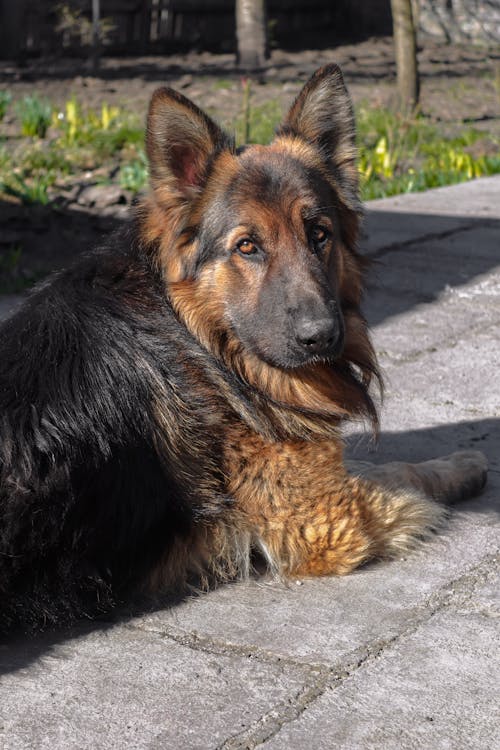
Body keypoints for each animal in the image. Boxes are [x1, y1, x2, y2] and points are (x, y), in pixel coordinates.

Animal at [0, 66, 486, 636]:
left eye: (319, 234)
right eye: (247, 246)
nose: (322, 336)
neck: (197, 333)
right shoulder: (327, 516)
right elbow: (403, 471)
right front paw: (463, 465)